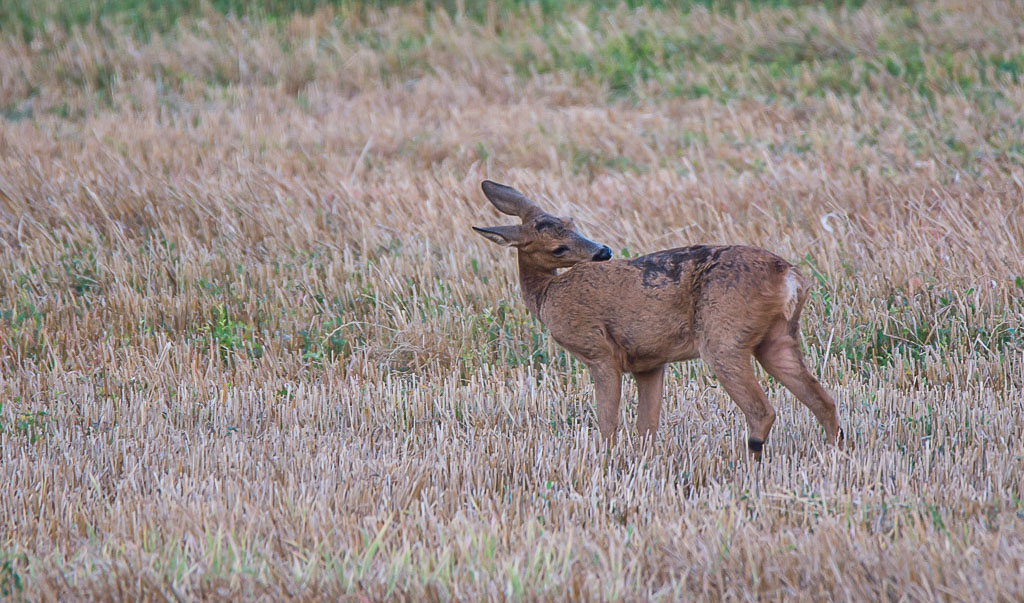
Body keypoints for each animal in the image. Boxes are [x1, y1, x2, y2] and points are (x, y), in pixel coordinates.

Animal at [471, 179, 839, 456]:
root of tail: (789, 275)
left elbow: (608, 421)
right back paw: (835, 450)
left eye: (571, 224)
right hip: (777, 337)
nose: (603, 251)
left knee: (763, 411)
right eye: (557, 246)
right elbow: (646, 425)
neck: (546, 296)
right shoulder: (649, 362)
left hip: (723, 337)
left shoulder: (597, 350)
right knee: (823, 400)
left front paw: (605, 458)